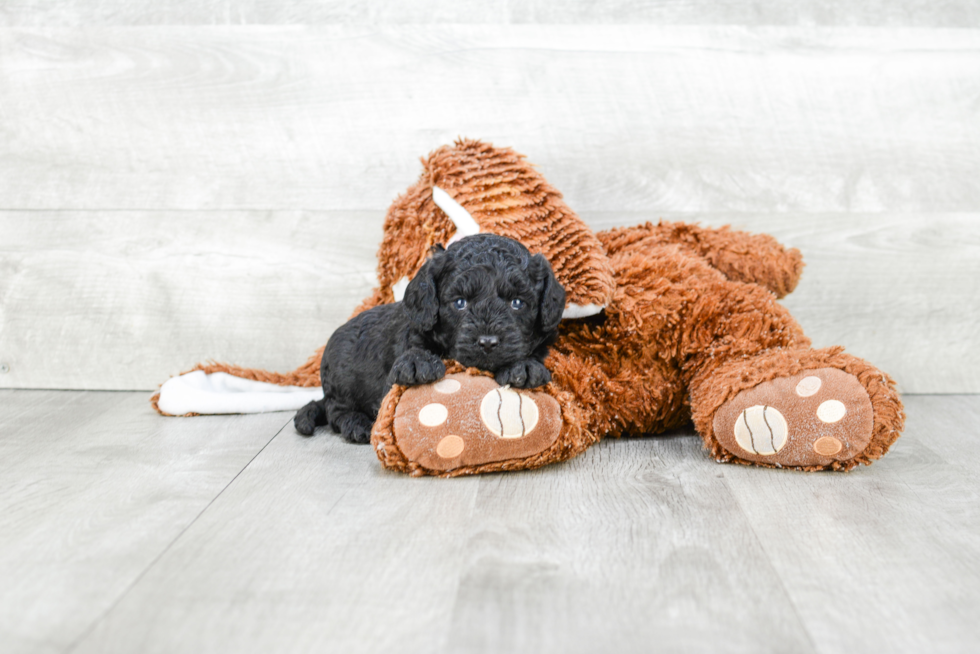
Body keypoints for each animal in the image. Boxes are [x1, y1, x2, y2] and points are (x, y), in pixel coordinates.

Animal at [292, 233, 568, 444]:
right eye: (460, 303)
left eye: (517, 303)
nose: (488, 342)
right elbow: (415, 346)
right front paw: (418, 363)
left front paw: (525, 367)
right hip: (341, 380)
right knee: (334, 411)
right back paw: (356, 423)